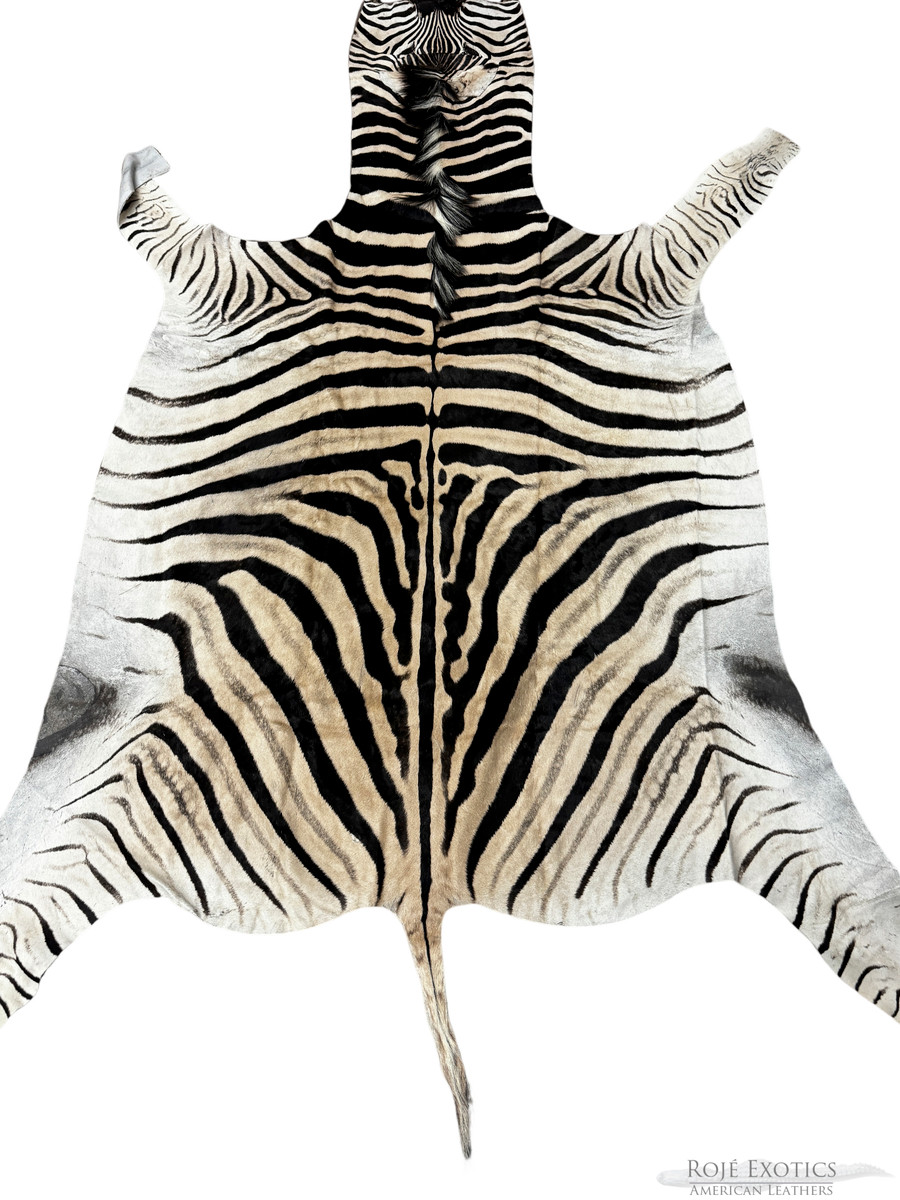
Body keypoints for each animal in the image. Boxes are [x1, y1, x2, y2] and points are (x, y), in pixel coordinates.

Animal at [1, 0, 897, 1158]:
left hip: (768, 767)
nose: (434, 0)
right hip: (93, 766)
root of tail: (420, 885)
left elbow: (731, 182)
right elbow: (144, 210)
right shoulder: (237, 279)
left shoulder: (636, 270)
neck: (432, 214)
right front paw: (141, 156)